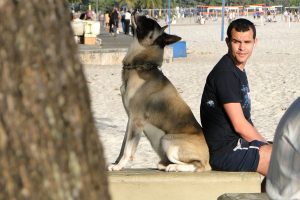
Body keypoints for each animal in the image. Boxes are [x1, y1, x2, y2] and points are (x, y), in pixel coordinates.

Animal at [108, 13, 211, 172]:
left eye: (150, 23)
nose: (138, 12)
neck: (141, 66)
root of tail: (209, 159)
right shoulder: (130, 120)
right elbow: (122, 146)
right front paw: (117, 163)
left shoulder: (136, 121)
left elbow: (128, 149)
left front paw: (120, 165)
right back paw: (165, 165)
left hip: (167, 140)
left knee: (197, 165)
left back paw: (173, 167)